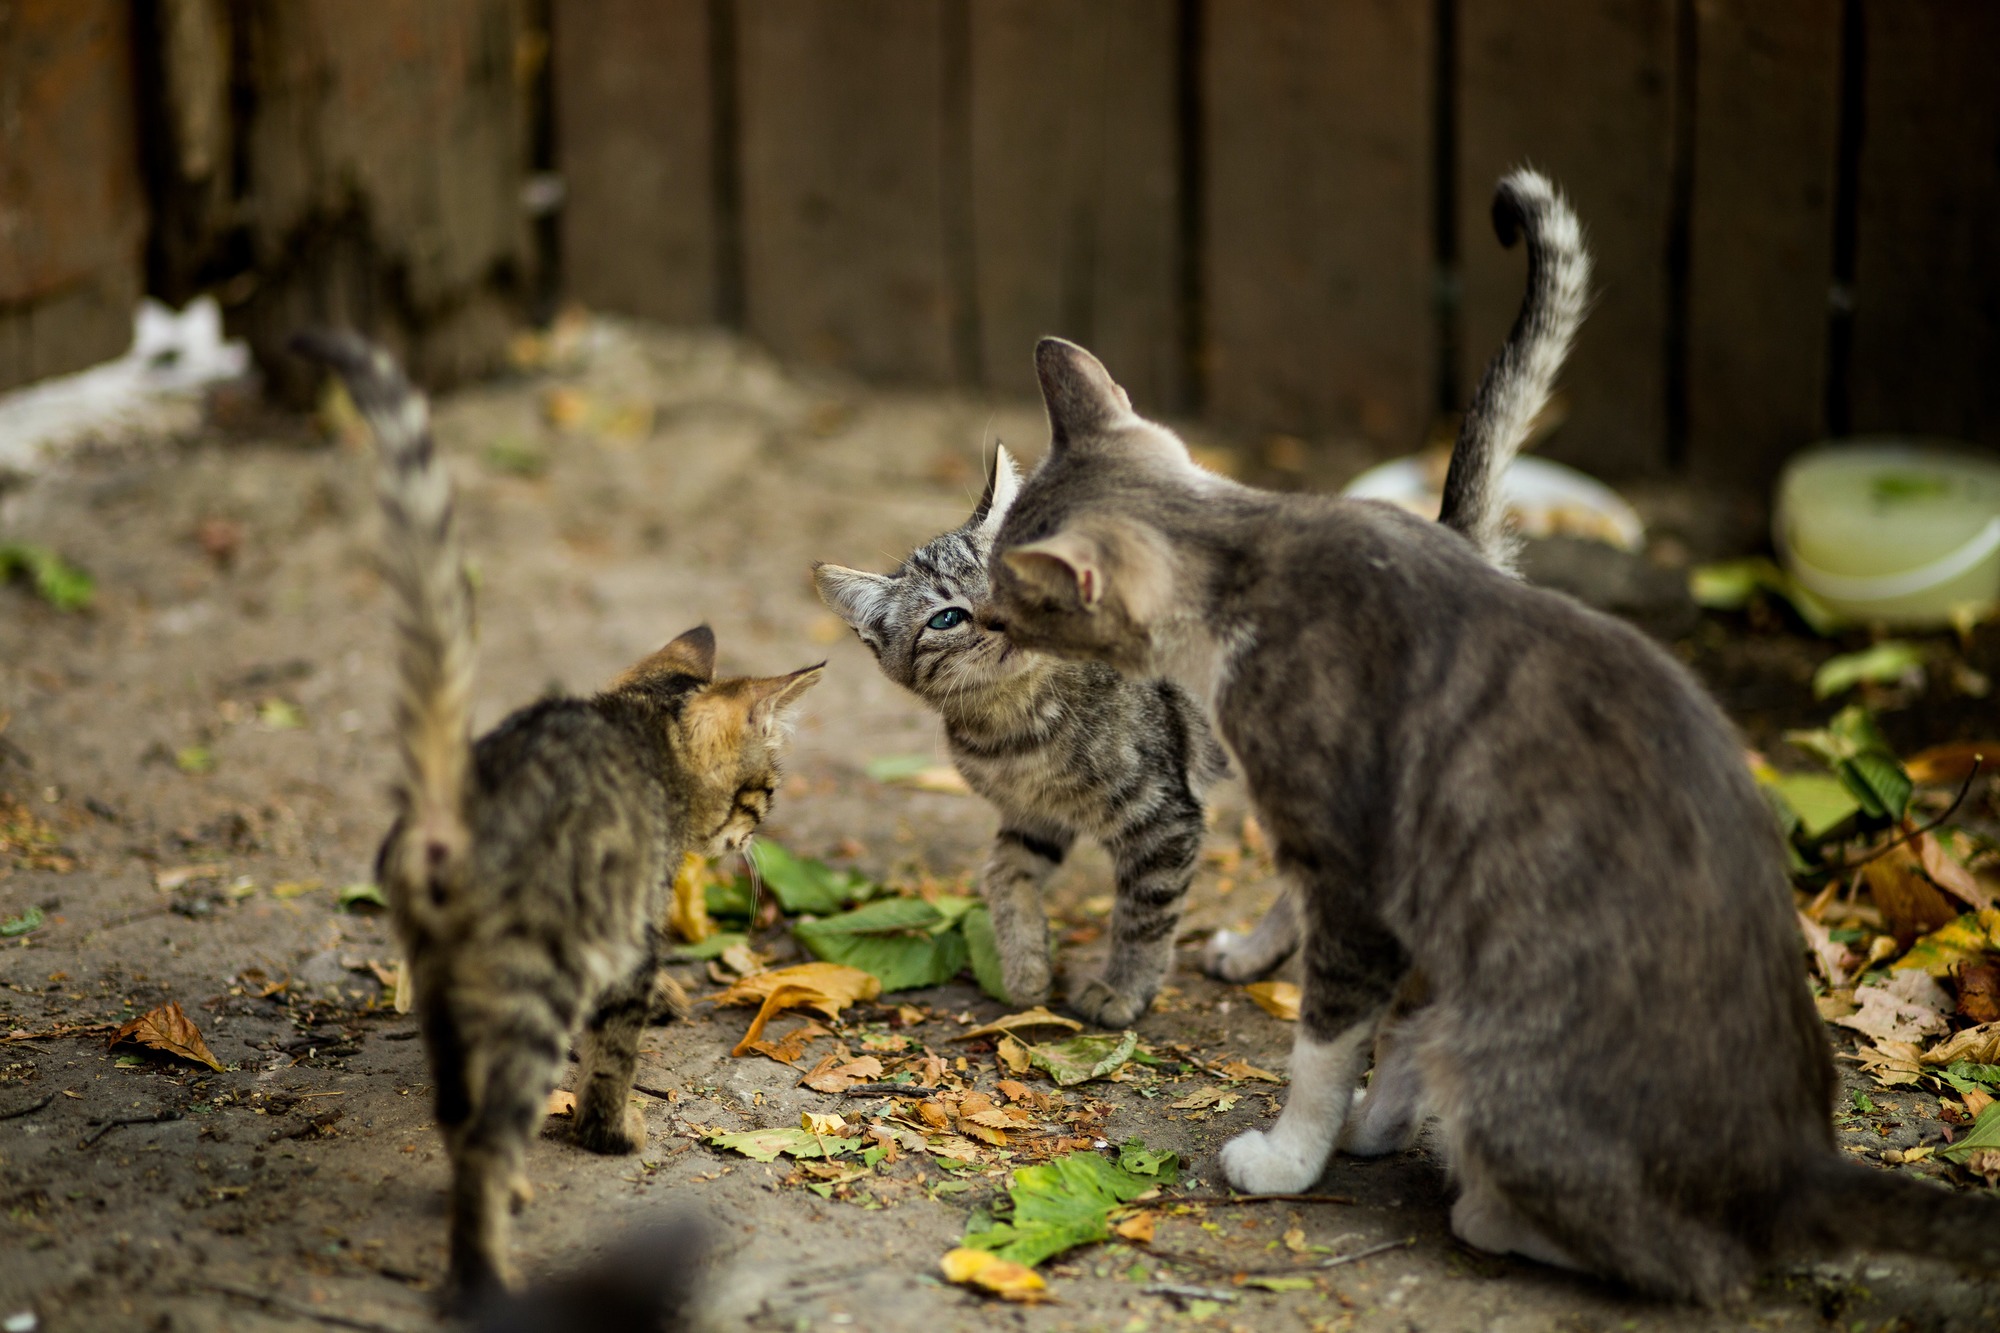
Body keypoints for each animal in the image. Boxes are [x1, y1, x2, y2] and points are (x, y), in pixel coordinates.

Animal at [294, 326, 820, 1304]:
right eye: (764, 791)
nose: (755, 834)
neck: (641, 730)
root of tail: (452, 806)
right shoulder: (627, 940)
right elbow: (616, 1054)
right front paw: (611, 1132)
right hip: (534, 981)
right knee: (486, 1134)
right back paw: (486, 1274)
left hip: (446, 987)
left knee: (459, 1115)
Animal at [804, 166, 1584, 1016]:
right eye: (946, 617)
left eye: (1016, 578)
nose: (1002, 621)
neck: (1015, 726)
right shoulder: (1032, 817)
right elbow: (1001, 871)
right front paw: (1023, 966)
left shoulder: (1161, 815)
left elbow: (1144, 913)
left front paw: (1120, 992)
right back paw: (1257, 953)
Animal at [984, 166, 2000, 1296]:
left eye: (1005, 603)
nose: (975, 621)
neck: (1249, 549)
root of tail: (1795, 1166)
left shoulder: (1362, 872)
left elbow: (1325, 1040)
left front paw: (1290, 1157)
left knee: (1687, 1258)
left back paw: (1477, 1199)